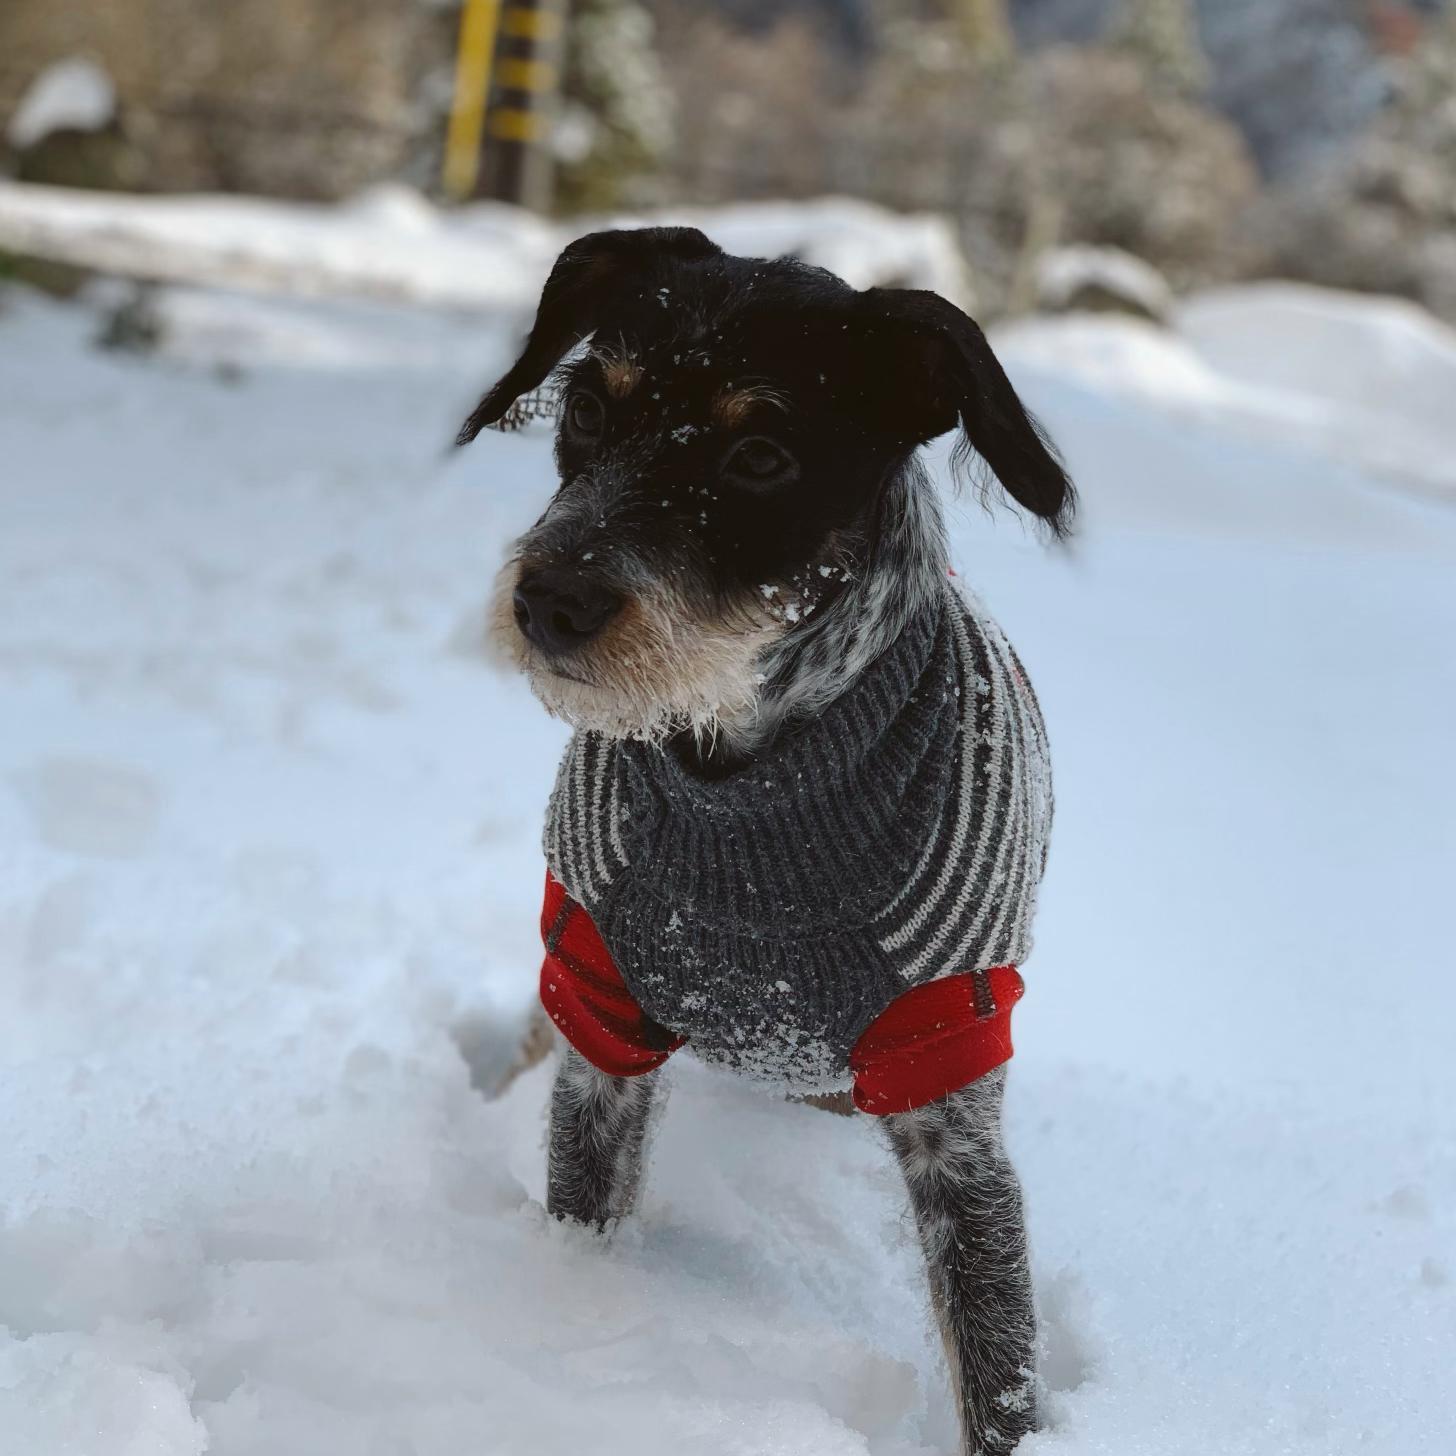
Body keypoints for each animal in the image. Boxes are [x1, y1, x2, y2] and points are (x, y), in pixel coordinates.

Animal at [458, 227, 1073, 1455]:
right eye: (587, 407)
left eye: (759, 456)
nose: (549, 600)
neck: (747, 780)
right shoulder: (597, 999)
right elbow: (582, 1188)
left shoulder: (949, 1073)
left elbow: (998, 1362)